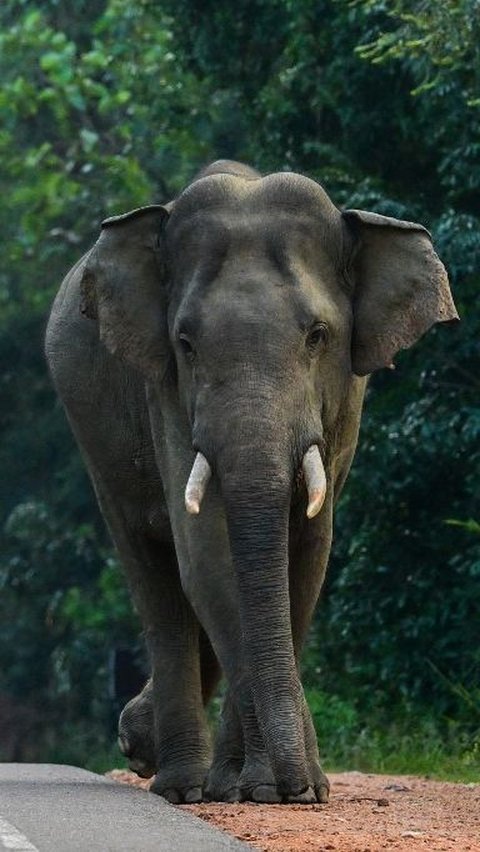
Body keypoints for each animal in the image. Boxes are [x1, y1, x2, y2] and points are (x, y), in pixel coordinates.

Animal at [45, 160, 458, 804]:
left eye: (318, 336)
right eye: (185, 343)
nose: (306, 789)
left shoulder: (344, 404)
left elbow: (308, 558)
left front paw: (284, 789)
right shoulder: (164, 391)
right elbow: (209, 558)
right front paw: (276, 788)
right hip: (91, 430)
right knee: (154, 575)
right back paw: (179, 785)